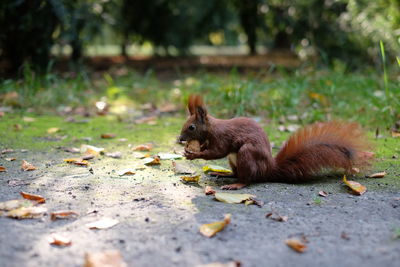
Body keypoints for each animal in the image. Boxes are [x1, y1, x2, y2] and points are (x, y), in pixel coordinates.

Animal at [178, 94, 372, 191]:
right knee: (237, 173)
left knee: (247, 179)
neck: (211, 129)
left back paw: (235, 185)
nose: (179, 139)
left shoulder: (222, 137)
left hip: (246, 154)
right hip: (234, 160)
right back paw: (223, 174)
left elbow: (217, 152)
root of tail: (269, 169)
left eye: (191, 127)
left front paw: (194, 154)